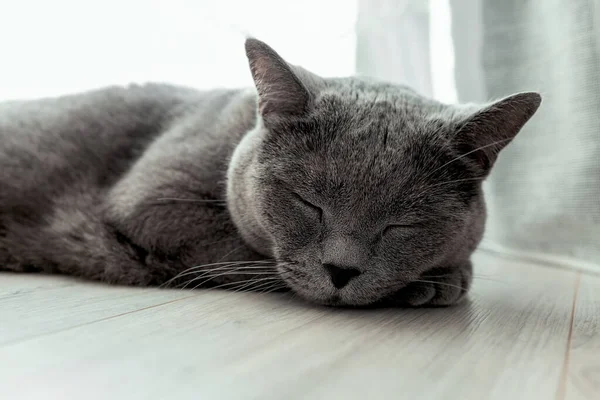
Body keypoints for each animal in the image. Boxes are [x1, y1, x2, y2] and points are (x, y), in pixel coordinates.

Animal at [0, 38, 544, 306]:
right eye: (307, 203)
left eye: (402, 225)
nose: (341, 271)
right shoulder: (154, 199)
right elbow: (249, 257)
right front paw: (440, 281)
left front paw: (445, 275)